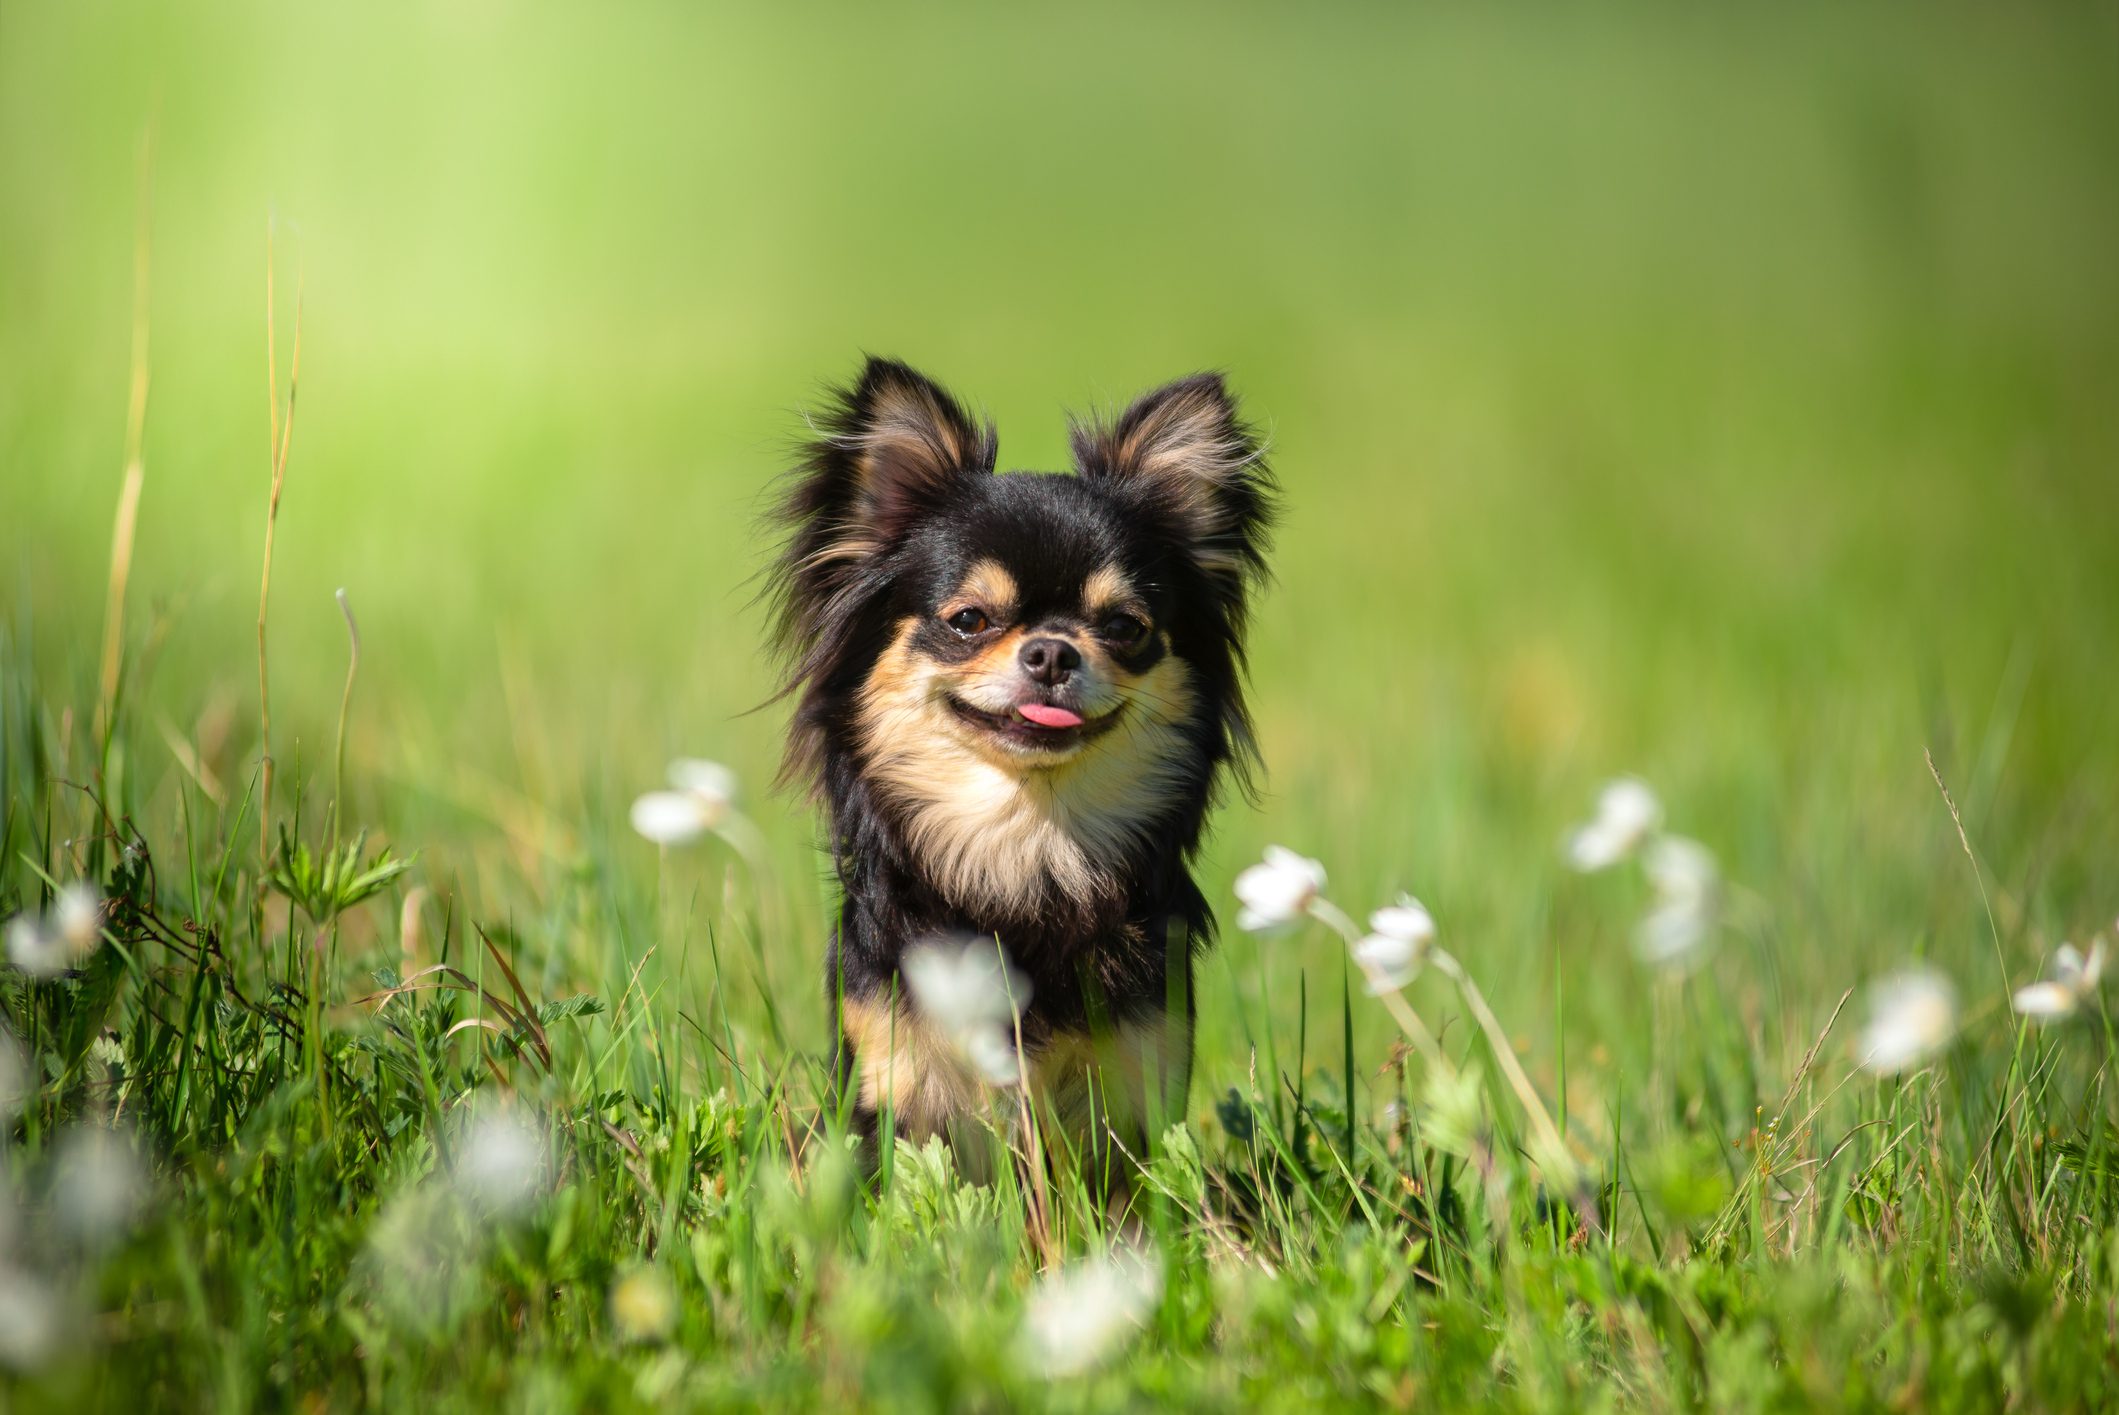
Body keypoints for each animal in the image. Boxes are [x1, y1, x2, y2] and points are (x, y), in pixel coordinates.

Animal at [771, 355, 1271, 1169]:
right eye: (970, 620)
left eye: (1124, 626)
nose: (1051, 651)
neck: (1026, 845)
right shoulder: (889, 1076)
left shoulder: (1138, 1083)